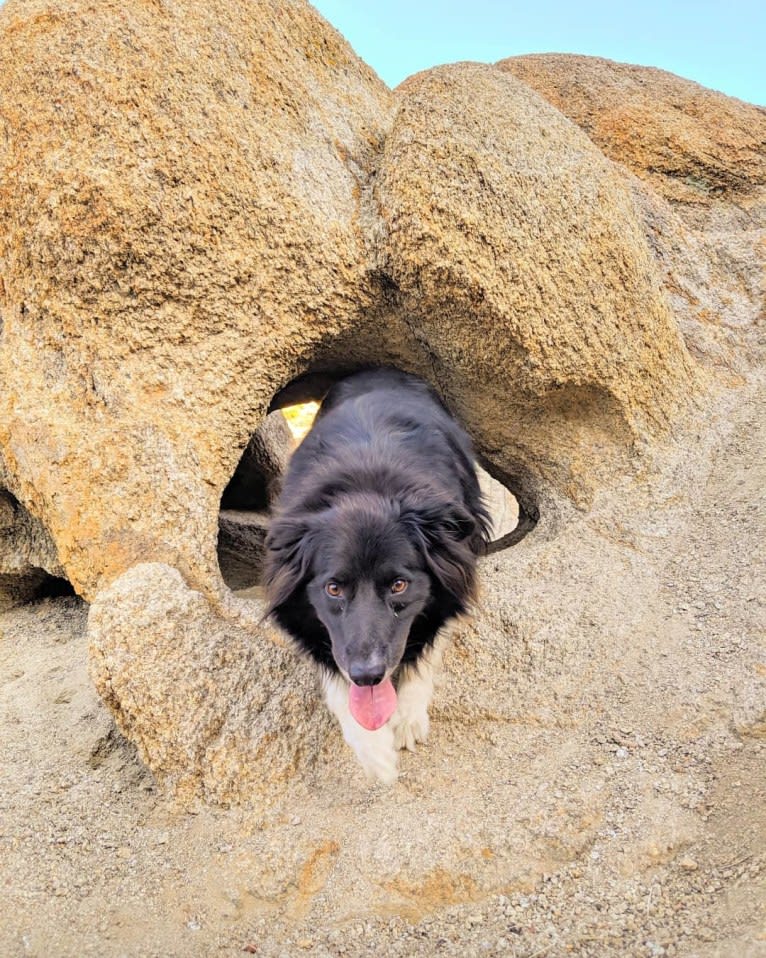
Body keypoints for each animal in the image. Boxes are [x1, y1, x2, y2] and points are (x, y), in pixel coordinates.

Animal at [264, 368, 492, 780]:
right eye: (333, 589)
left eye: (399, 585)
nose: (368, 676)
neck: (365, 486)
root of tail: (380, 369)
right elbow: (336, 679)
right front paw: (374, 752)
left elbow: (431, 644)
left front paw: (405, 720)